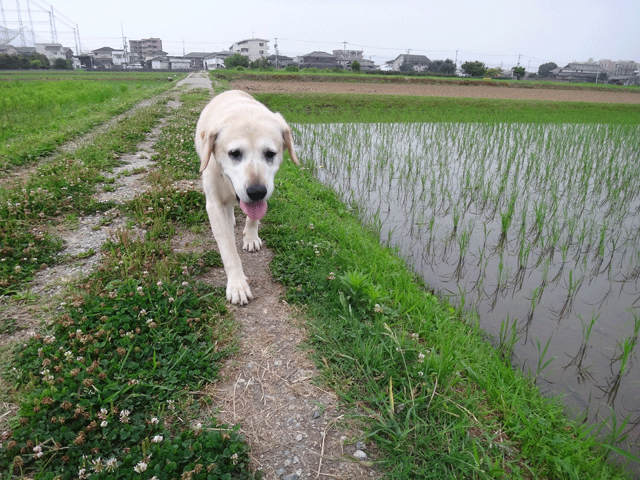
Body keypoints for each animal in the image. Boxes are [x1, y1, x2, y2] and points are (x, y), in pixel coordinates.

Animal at [194, 90, 298, 304]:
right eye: (234, 153)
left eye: (270, 153)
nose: (256, 191)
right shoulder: (214, 205)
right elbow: (228, 250)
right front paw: (237, 285)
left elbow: (253, 218)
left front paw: (250, 237)